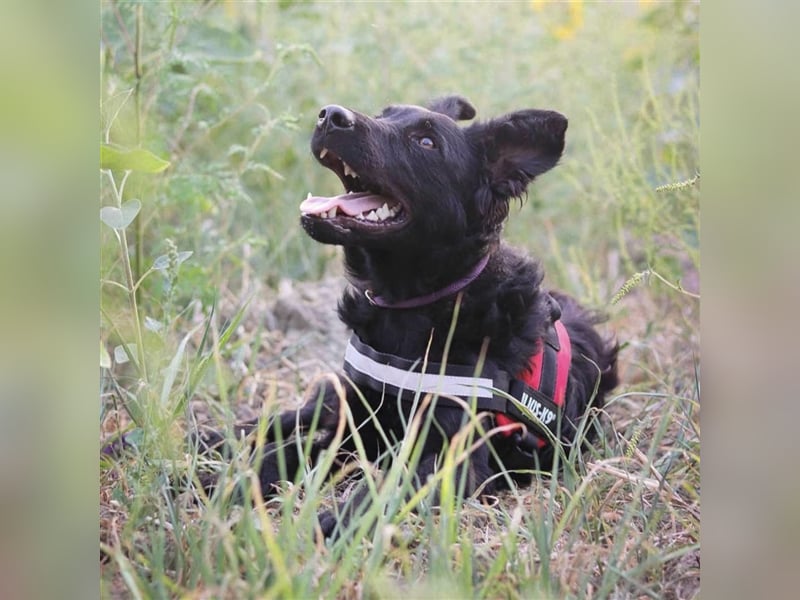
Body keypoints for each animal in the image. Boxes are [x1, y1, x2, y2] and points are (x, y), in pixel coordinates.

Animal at [203, 96, 616, 536]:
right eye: (383, 115)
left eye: (426, 142)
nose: (330, 115)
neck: (414, 307)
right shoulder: (359, 420)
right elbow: (282, 451)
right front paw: (226, 482)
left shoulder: (452, 459)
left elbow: (378, 495)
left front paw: (326, 528)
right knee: (288, 417)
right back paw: (206, 439)